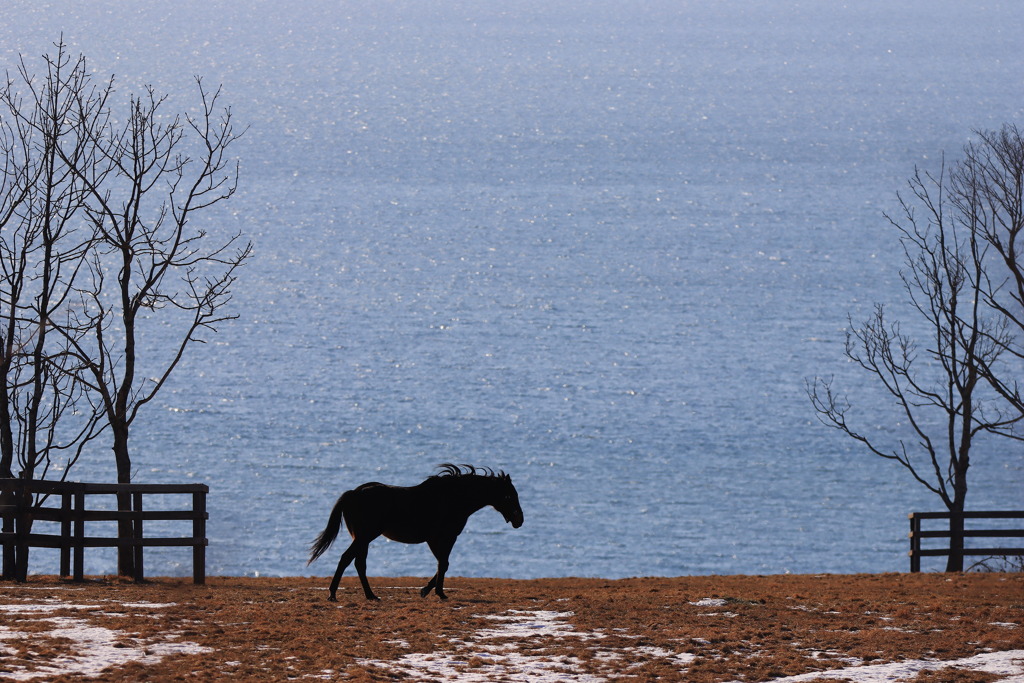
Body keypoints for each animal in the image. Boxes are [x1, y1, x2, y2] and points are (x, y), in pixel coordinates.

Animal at [307, 462, 524, 602]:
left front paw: (427, 590)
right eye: (508, 496)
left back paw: (370, 595)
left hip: (363, 538)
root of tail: (353, 493)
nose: (519, 520)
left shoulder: (442, 539)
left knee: (358, 563)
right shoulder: (440, 538)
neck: (452, 498)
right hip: (365, 536)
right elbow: (443, 564)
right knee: (347, 559)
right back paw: (333, 594)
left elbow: (443, 564)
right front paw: (437, 593)